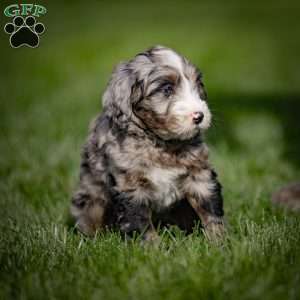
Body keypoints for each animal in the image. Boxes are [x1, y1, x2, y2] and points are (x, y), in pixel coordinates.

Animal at [71, 45, 225, 243]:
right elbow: (140, 220)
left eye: (197, 85)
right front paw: (152, 247)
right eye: (167, 89)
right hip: (92, 200)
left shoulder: (199, 173)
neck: (161, 144)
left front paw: (220, 240)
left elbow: (210, 209)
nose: (199, 116)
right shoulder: (131, 185)